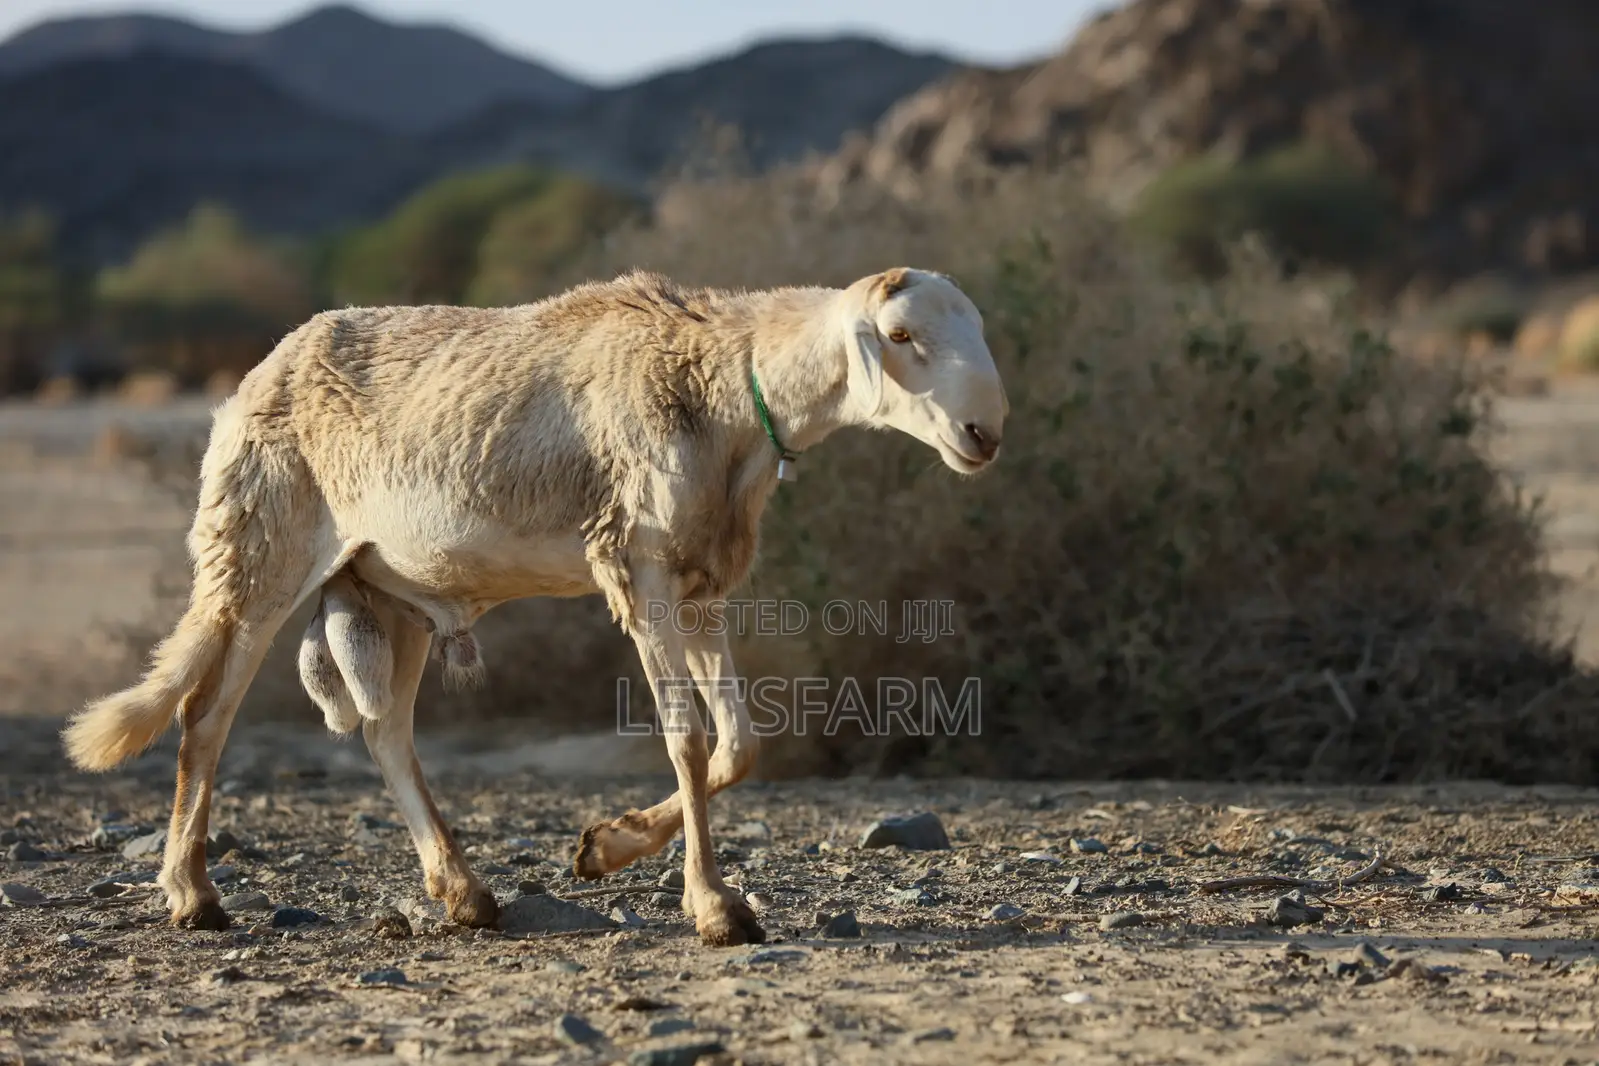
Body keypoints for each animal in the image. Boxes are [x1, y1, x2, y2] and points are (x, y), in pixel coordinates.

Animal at [60, 266, 1008, 947]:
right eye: (899, 336)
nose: (983, 435)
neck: (724, 388)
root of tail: (256, 374)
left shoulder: (699, 580)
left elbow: (740, 744)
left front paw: (606, 846)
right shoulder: (637, 563)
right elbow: (686, 737)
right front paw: (713, 908)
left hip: (389, 590)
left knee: (386, 733)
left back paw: (464, 893)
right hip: (258, 547)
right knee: (206, 716)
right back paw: (193, 894)